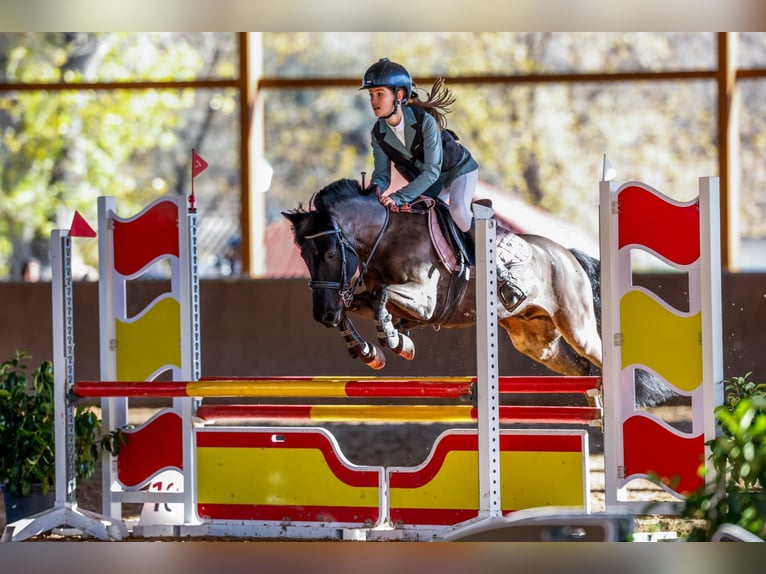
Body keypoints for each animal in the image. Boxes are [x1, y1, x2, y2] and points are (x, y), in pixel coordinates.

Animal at [284, 180, 672, 410]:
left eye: (330, 253)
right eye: (304, 257)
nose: (322, 315)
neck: (387, 236)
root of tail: (568, 255)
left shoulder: (425, 302)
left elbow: (382, 298)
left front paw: (397, 342)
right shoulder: (363, 297)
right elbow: (359, 305)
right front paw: (367, 351)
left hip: (576, 327)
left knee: (600, 358)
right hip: (537, 342)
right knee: (580, 369)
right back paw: (597, 411)